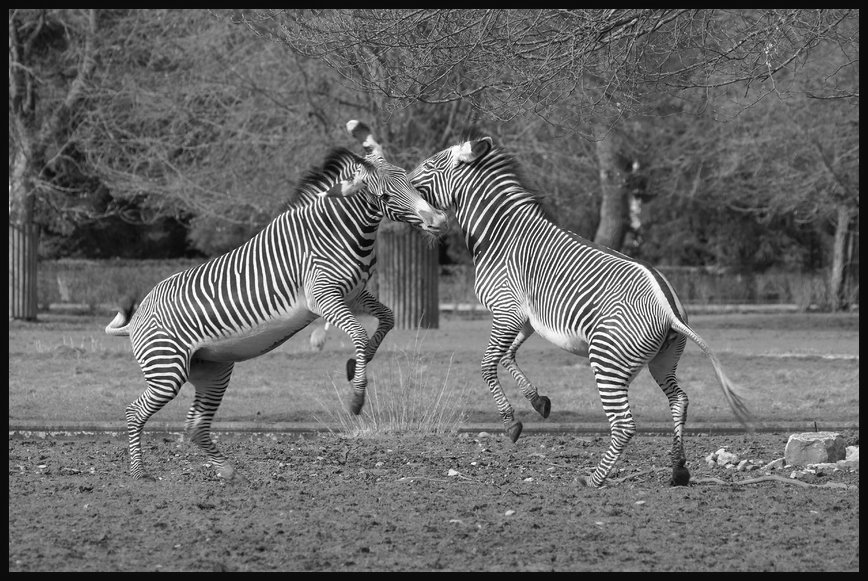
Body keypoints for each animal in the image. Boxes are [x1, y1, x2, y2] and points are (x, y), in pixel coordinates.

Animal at [103, 120, 448, 478]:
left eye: (412, 183)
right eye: (384, 195)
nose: (439, 221)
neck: (338, 232)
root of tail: (137, 315)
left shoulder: (353, 295)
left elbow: (387, 319)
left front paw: (356, 363)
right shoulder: (323, 297)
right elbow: (356, 331)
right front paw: (356, 396)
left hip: (212, 368)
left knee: (195, 426)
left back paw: (226, 471)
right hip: (166, 371)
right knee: (134, 412)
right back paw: (139, 473)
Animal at [406, 135, 752, 484]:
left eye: (429, 165)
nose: (402, 184)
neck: (498, 235)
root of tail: (668, 308)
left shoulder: (506, 311)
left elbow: (488, 364)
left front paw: (511, 423)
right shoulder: (526, 319)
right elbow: (507, 356)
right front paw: (538, 402)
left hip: (608, 359)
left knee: (624, 424)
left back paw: (594, 479)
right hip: (663, 361)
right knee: (679, 400)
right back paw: (678, 468)